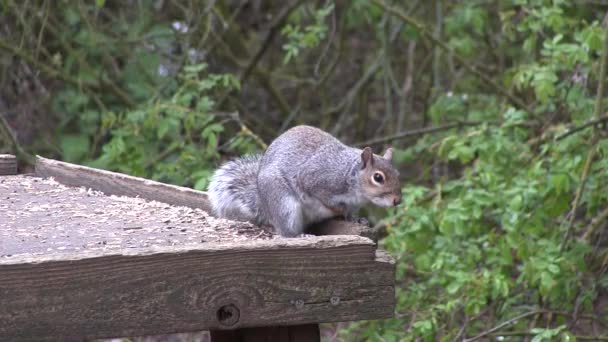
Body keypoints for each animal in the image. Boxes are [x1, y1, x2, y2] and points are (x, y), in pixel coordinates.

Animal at [209, 124, 404, 236]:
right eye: (378, 177)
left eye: (398, 174)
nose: (397, 200)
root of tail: (264, 205)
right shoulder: (317, 179)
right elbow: (325, 199)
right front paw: (339, 209)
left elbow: (350, 213)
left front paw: (355, 219)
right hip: (284, 204)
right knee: (285, 232)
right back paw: (299, 235)